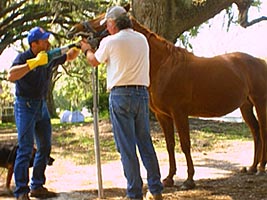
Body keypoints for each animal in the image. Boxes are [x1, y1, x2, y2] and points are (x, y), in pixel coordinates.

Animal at [67, 6, 267, 190]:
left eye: (102, 20)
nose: (74, 30)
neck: (163, 65)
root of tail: (260, 61)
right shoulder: (163, 115)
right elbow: (170, 145)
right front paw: (169, 178)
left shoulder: (179, 113)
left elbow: (185, 144)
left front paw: (189, 180)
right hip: (245, 107)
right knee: (256, 132)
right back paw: (252, 167)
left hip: (260, 104)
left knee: (263, 131)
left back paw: (261, 168)